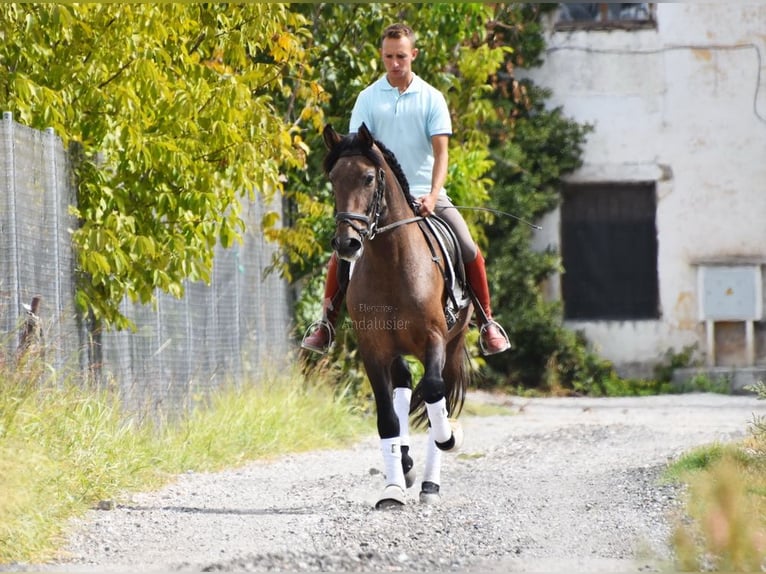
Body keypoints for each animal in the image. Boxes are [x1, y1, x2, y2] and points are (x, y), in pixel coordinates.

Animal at [320, 124, 472, 510]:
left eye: (368, 178)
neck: (392, 262)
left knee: (438, 394)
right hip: (396, 350)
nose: (347, 245)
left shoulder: (434, 339)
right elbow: (387, 419)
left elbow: (433, 393)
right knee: (403, 385)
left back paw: (431, 482)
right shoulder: (374, 350)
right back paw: (404, 465)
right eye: (333, 179)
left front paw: (450, 438)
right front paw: (392, 489)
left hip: (453, 344)